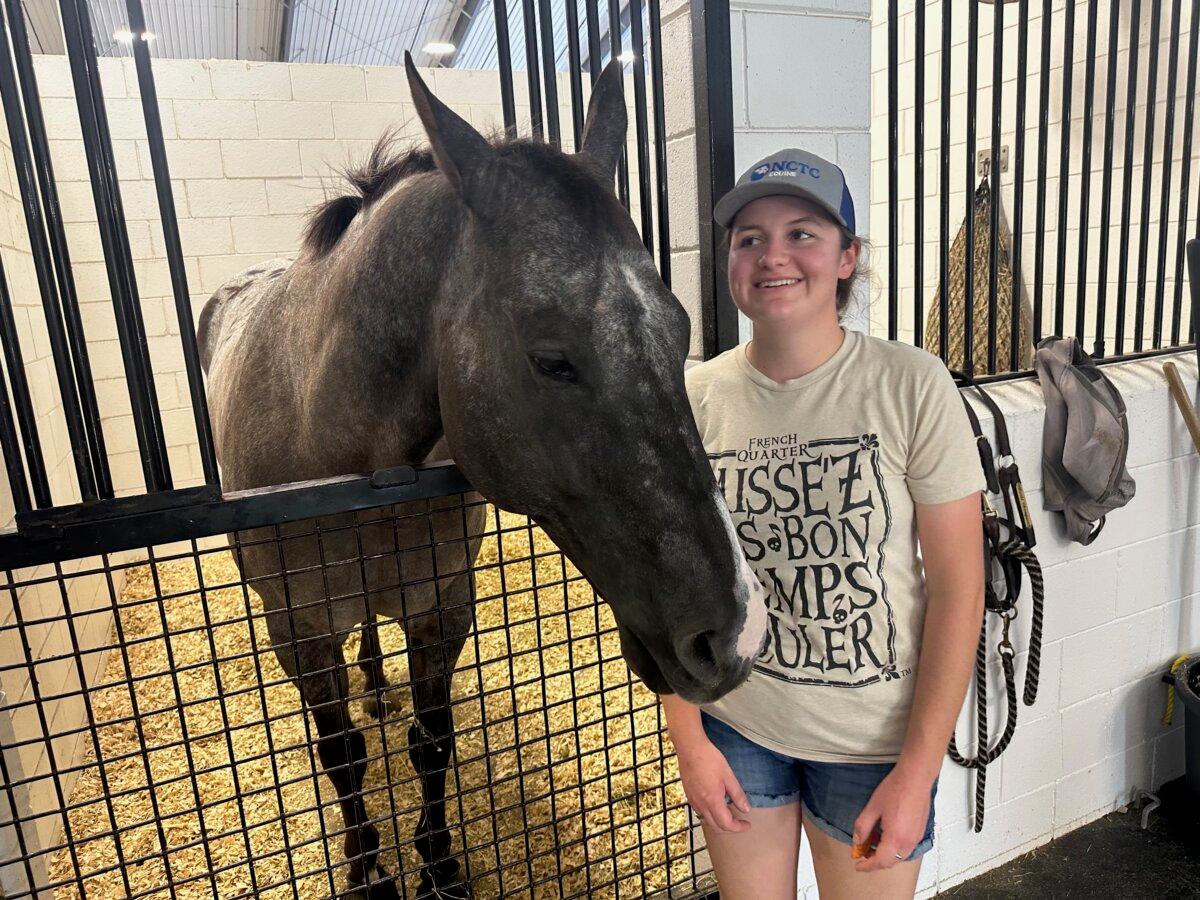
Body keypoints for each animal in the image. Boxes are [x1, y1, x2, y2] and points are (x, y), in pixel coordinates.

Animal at [196, 54, 767, 899]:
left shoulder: (443, 607)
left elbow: (429, 740)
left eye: (680, 328)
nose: (733, 634)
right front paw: (367, 871)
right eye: (551, 358)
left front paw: (439, 866)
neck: (324, 429)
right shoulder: (299, 630)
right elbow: (343, 757)